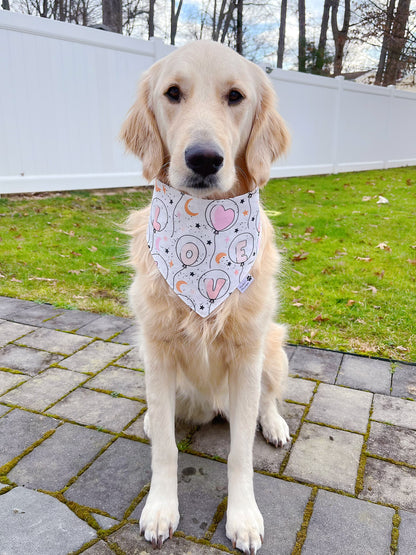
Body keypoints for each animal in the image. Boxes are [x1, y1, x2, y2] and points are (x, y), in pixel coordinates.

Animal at [120, 41, 290, 552]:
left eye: (235, 96)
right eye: (173, 92)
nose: (203, 159)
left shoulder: (247, 354)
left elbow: (239, 454)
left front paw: (244, 517)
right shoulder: (157, 351)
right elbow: (165, 450)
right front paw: (160, 508)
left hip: (273, 348)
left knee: (268, 400)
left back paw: (274, 424)